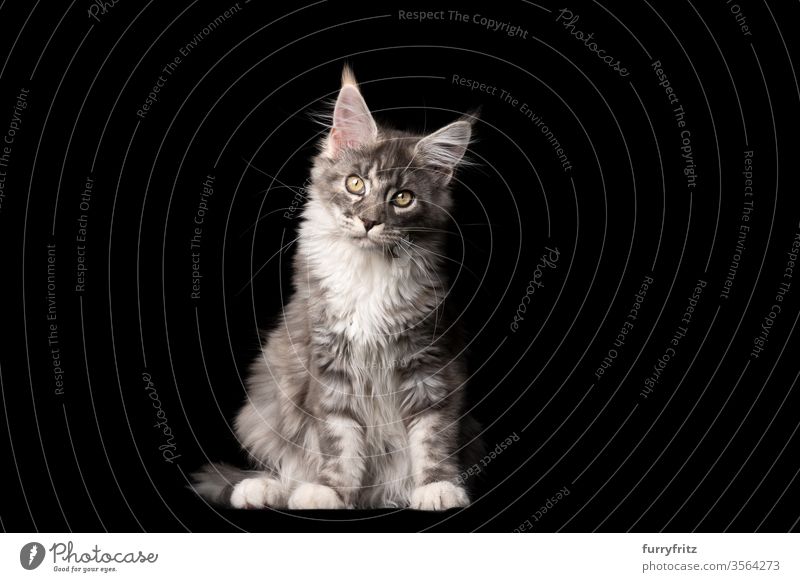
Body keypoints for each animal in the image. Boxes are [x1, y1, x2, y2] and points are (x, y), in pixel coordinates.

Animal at [194, 65, 482, 512]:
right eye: (355, 184)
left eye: (403, 198)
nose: (368, 221)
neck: (368, 271)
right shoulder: (328, 359)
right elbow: (339, 438)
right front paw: (330, 491)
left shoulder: (430, 358)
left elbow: (432, 433)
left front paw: (437, 487)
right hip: (262, 411)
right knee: (285, 461)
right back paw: (266, 488)